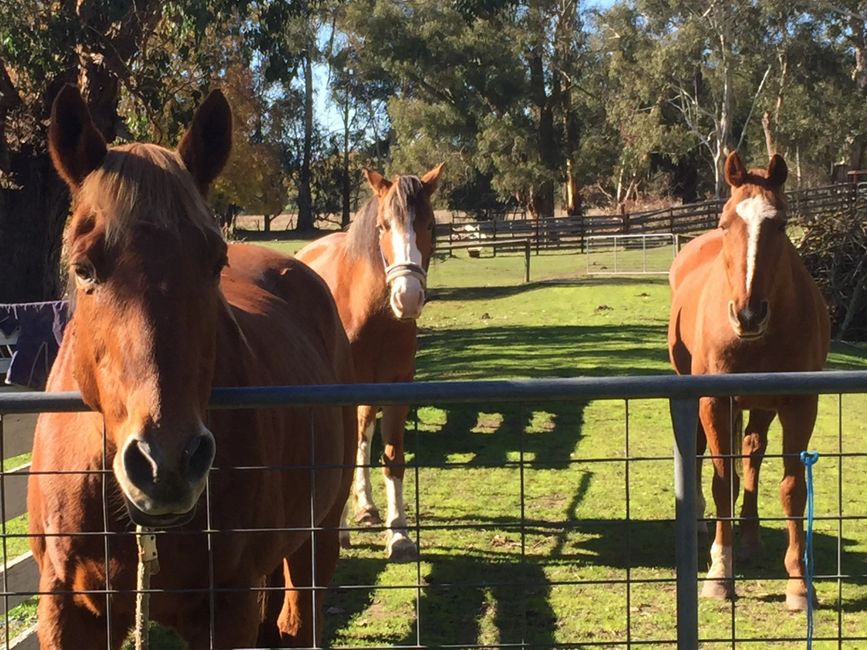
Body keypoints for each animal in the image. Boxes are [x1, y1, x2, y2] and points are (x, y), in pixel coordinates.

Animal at [29, 85, 356, 644]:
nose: (167, 463)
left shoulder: (226, 608)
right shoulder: (67, 608)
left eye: (214, 263)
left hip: (317, 538)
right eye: (84, 268)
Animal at [298, 165, 448, 560]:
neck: (373, 315)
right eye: (383, 226)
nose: (407, 297)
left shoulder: (396, 390)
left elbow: (392, 458)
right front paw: (339, 532)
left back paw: (365, 506)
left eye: (430, 225)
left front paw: (399, 535)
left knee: (365, 435)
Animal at [668, 151, 832, 608]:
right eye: (727, 222)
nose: (748, 314)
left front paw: (798, 583)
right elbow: (723, 481)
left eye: (780, 224)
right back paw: (702, 524)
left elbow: (792, 489)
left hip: (760, 404)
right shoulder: (714, 402)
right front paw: (719, 573)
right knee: (703, 450)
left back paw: (752, 537)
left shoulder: (800, 405)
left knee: (753, 452)